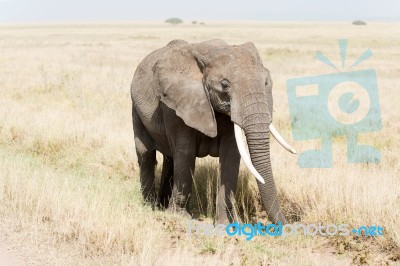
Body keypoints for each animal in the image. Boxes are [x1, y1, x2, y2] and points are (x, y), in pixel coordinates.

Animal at [130, 38, 296, 223]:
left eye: (266, 82)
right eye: (224, 85)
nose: (287, 225)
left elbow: (230, 155)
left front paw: (227, 224)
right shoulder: (176, 105)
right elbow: (186, 153)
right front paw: (180, 217)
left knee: (169, 157)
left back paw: (162, 203)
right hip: (136, 108)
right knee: (146, 154)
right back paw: (150, 205)